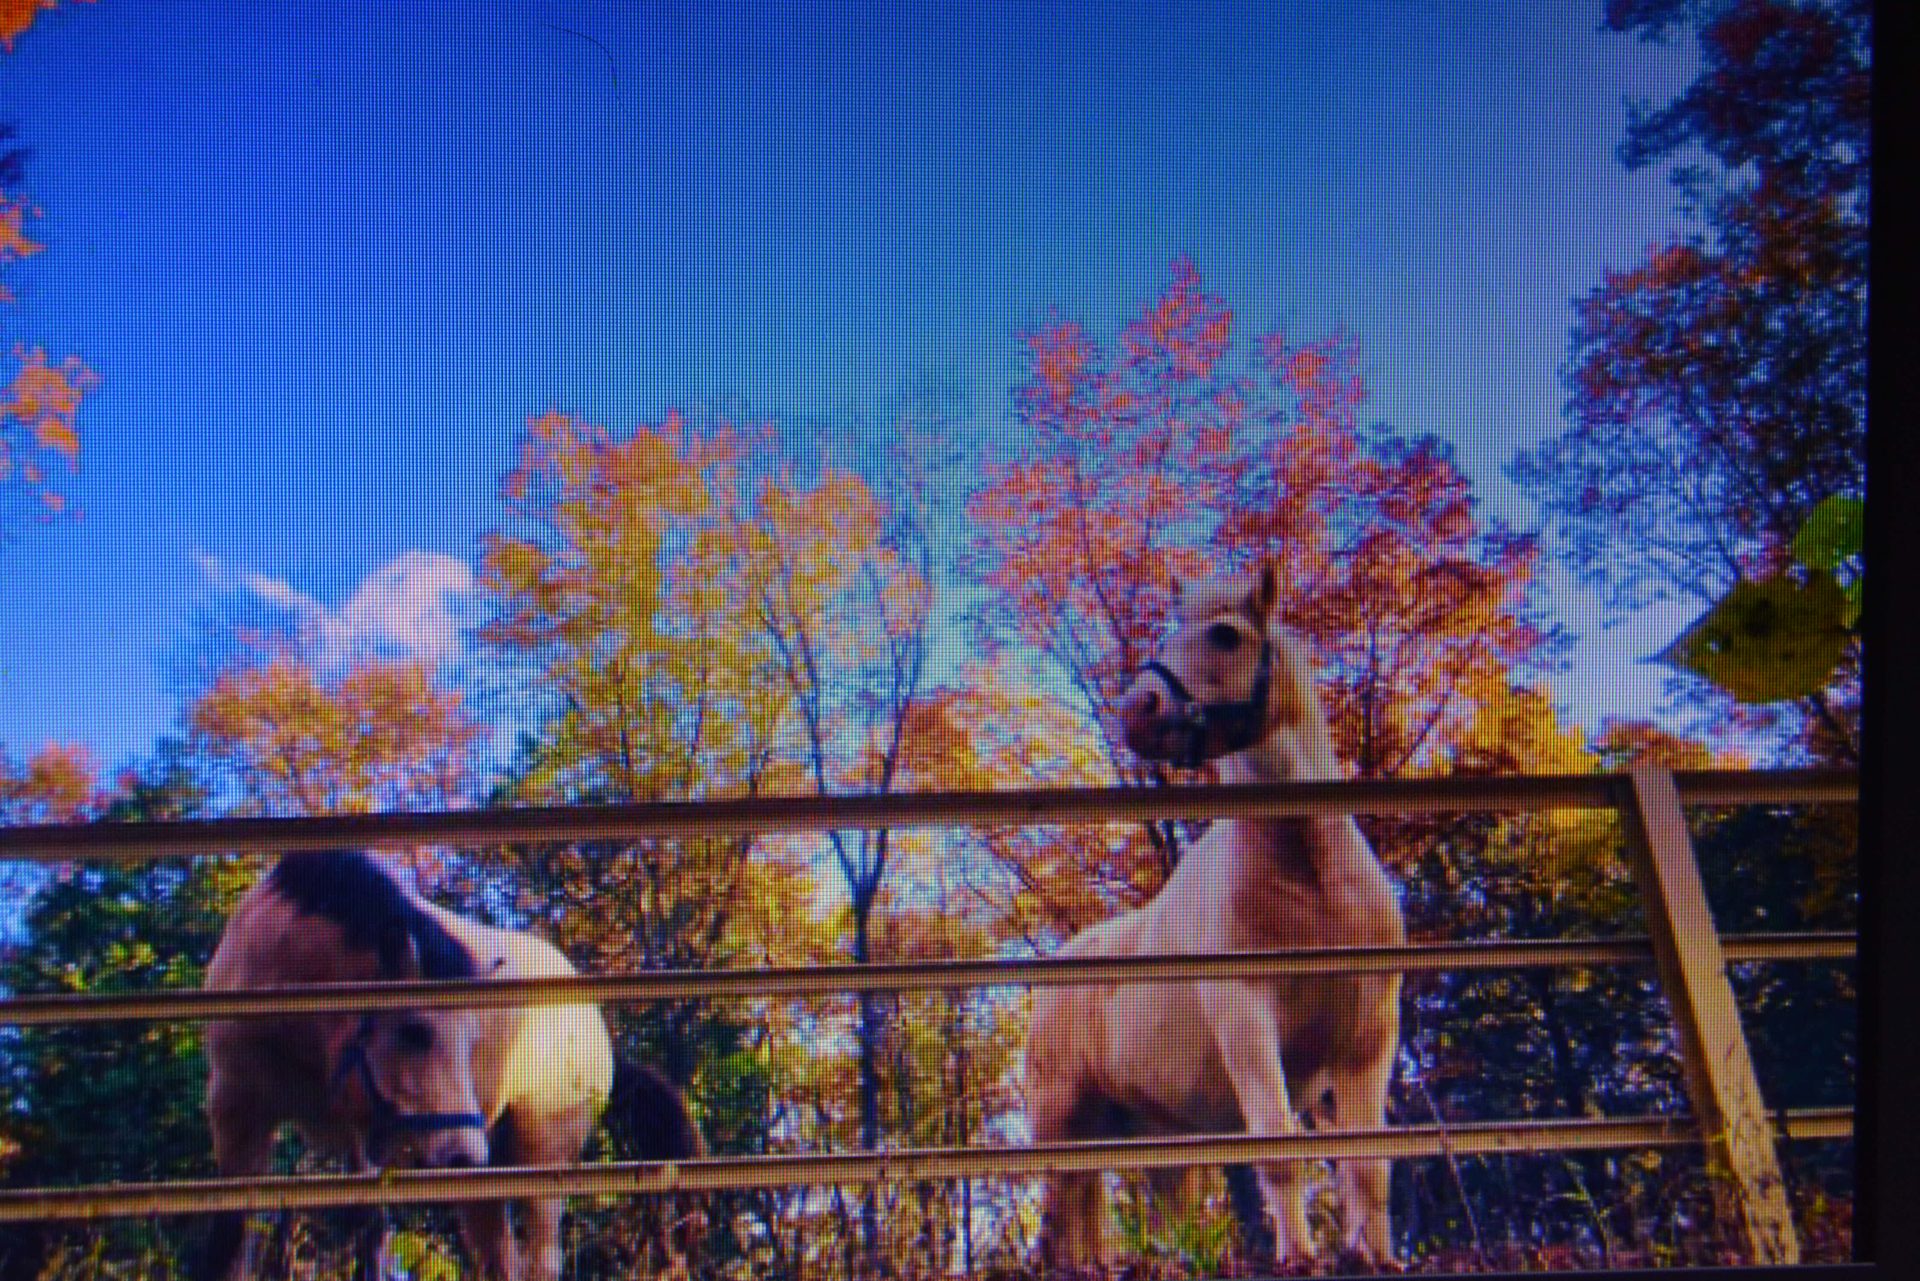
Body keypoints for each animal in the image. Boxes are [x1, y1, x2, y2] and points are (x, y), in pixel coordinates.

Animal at [200, 852, 706, 1281]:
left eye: (471, 1038)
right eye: (414, 1032)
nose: (465, 1155)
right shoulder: (244, 1116)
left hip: (542, 1155)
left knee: (538, 1257)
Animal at [1029, 564, 1405, 1267]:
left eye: (1225, 635)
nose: (1138, 712)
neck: (1310, 882)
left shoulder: (1369, 1039)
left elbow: (1368, 1166)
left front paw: (1377, 1259)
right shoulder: (1247, 1019)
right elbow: (1279, 1149)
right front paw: (1299, 1259)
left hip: (1161, 1141)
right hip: (1061, 1123)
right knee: (1063, 1215)